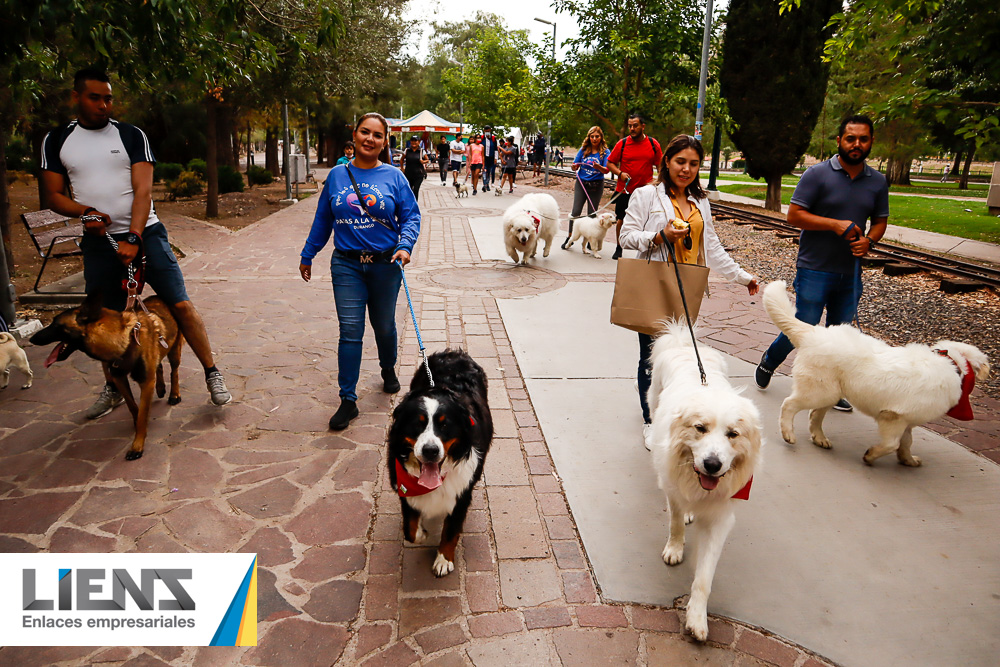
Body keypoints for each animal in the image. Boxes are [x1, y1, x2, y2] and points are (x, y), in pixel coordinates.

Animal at [384, 352, 494, 576]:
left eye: (444, 425)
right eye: (417, 424)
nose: (430, 450)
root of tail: (454, 353)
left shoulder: (461, 493)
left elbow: (450, 531)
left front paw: (444, 559)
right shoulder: (404, 486)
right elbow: (410, 529)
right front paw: (422, 533)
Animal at [644, 320, 760, 644]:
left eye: (733, 434)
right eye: (700, 428)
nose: (712, 464)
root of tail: (684, 343)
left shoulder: (721, 517)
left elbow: (705, 577)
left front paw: (697, 617)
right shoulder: (673, 489)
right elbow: (674, 522)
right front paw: (675, 548)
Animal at [760, 280, 988, 464]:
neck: (952, 363)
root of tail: (814, 332)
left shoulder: (907, 421)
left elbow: (906, 442)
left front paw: (908, 460)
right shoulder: (893, 417)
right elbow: (892, 444)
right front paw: (871, 455)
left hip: (830, 392)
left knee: (815, 415)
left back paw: (820, 439)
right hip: (818, 391)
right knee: (789, 404)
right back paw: (788, 433)